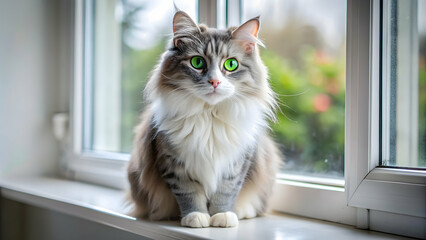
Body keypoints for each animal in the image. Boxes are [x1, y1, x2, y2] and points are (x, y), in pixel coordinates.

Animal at [128, 10, 282, 228]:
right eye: (197, 62)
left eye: (231, 64)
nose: (215, 81)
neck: (209, 116)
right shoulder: (173, 162)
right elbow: (189, 193)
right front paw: (196, 217)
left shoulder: (237, 163)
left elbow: (225, 192)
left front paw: (222, 216)